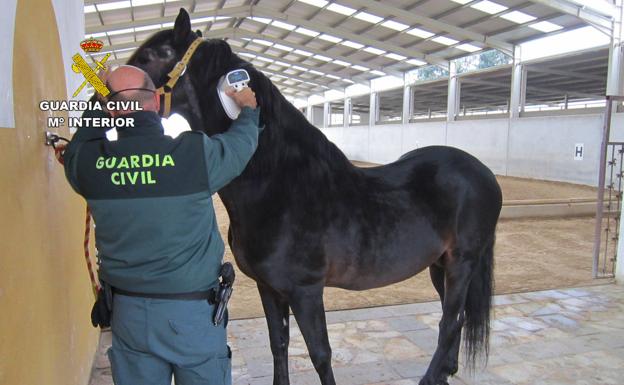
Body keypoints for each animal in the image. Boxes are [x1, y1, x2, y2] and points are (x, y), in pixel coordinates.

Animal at [127, 9, 502, 384]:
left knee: (449, 323)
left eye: (148, 56)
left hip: (462, 262)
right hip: (440, 265)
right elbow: (278, 343)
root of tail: (483, 173)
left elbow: (320, 354)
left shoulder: (305, 291)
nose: (113, 100)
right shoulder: (268, 287)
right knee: (455, 319)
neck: (281, 186)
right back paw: (445, 372)